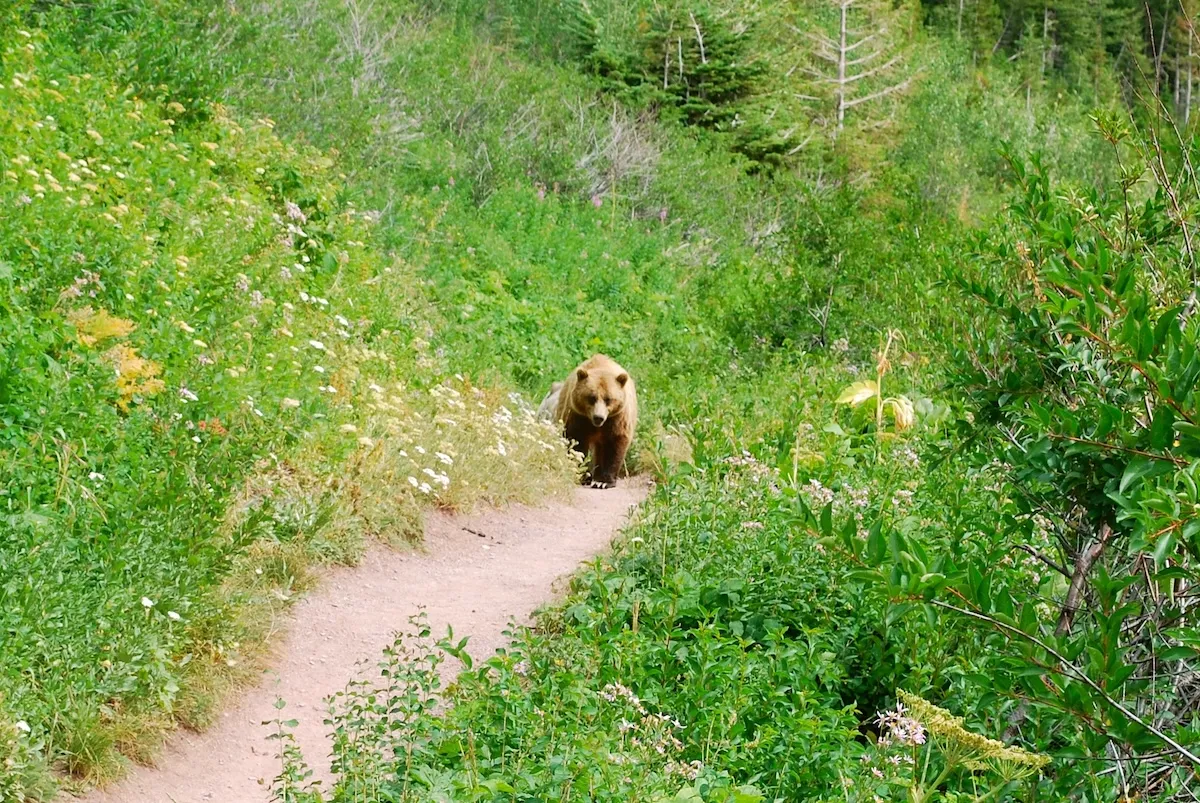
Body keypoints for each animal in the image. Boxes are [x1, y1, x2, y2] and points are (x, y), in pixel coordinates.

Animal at [540, 354, 637, 489]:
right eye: (592, 397)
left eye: (608, 399)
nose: (598, 417)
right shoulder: (577, 415)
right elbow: (577, 442)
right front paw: (582, 475)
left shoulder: (617, 418)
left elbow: (614, 445)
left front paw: (603, 481)